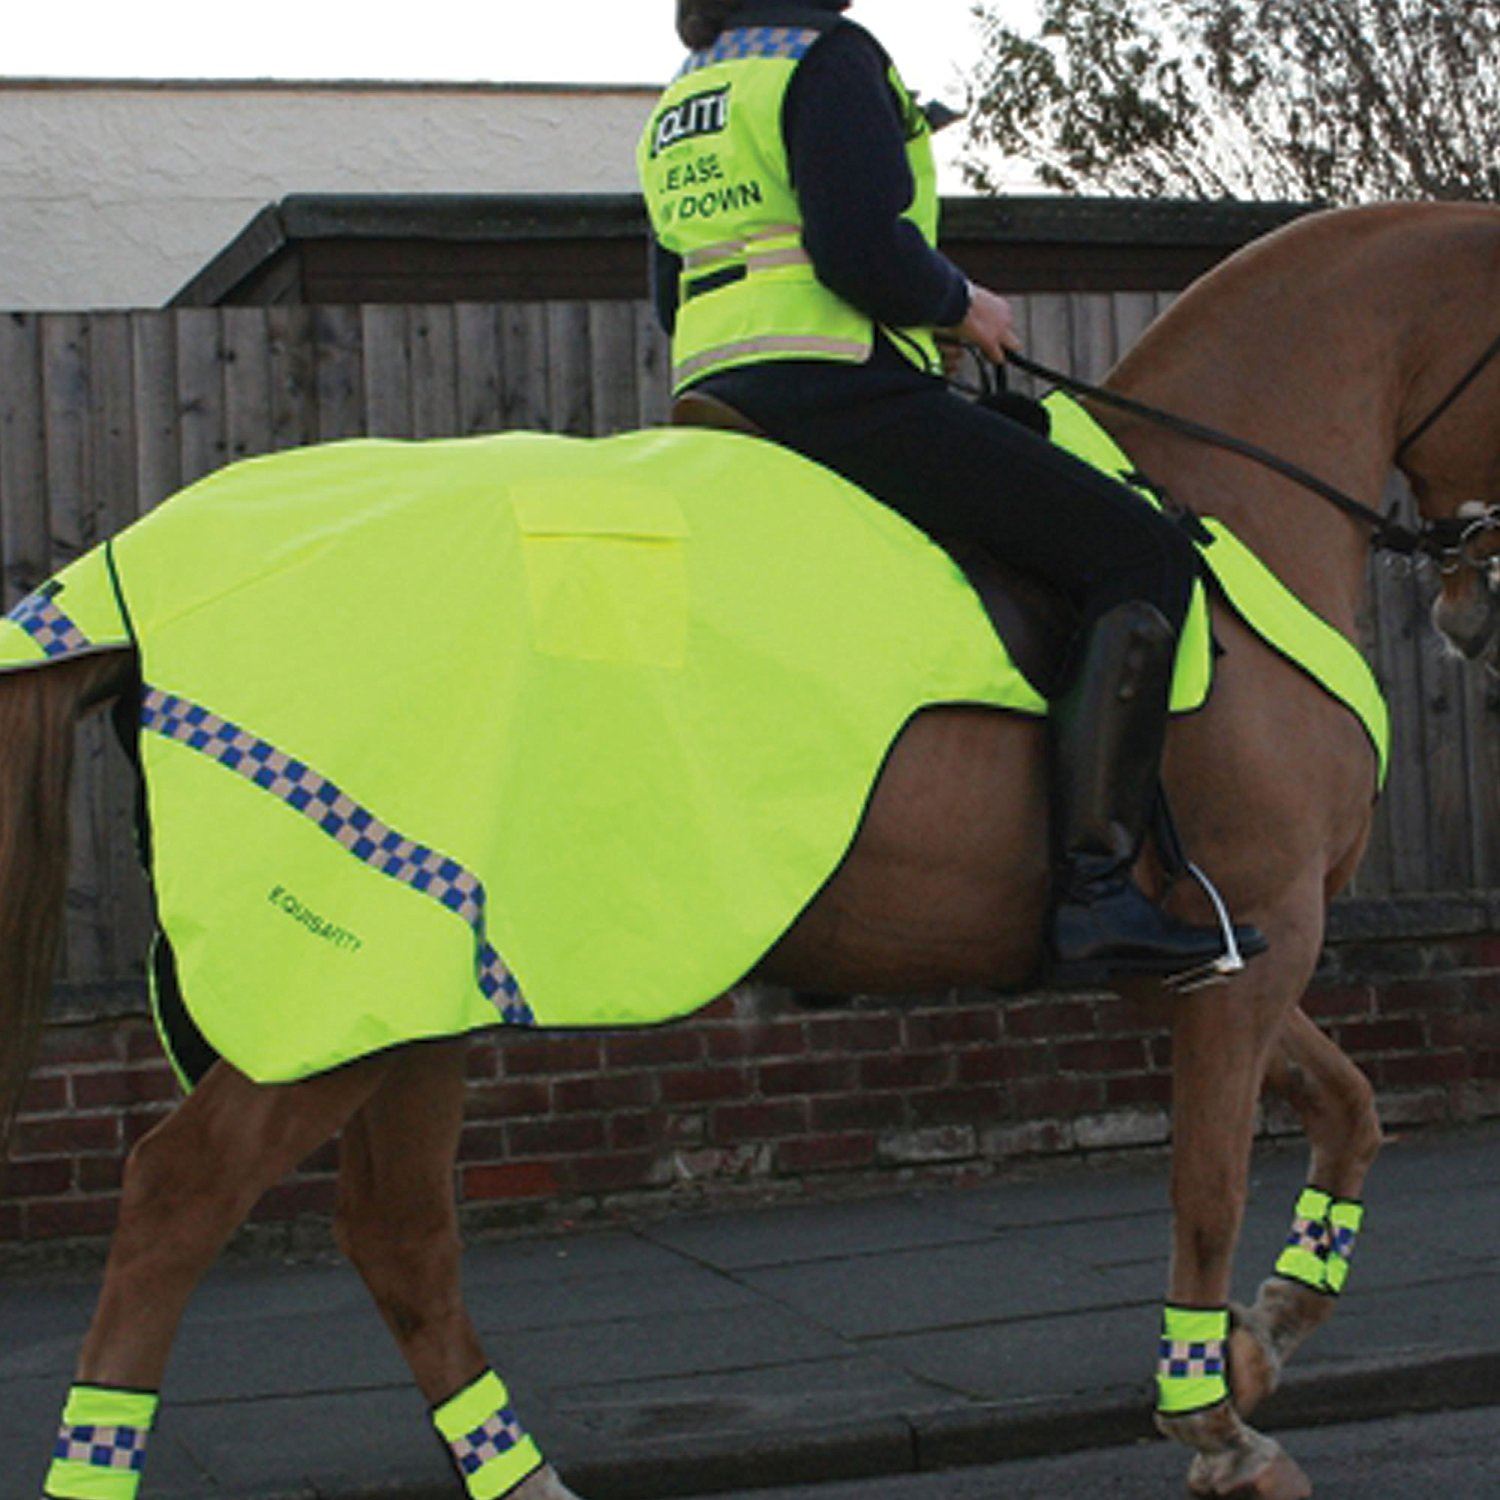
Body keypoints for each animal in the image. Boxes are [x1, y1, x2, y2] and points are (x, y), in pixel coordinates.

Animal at [1, 200, 1496, 1500]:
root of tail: (141, 571)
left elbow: (1351, 1109)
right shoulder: (1252, 940)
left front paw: (1264, 1337)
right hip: (338, 989)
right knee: (180, 1198)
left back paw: (526, 1478)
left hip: (414, 989)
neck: (1226, 494)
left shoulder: (1220, 951)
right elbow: (1208, 1181)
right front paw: (1214, 1420)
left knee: (400, 1235)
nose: (1473, 610)